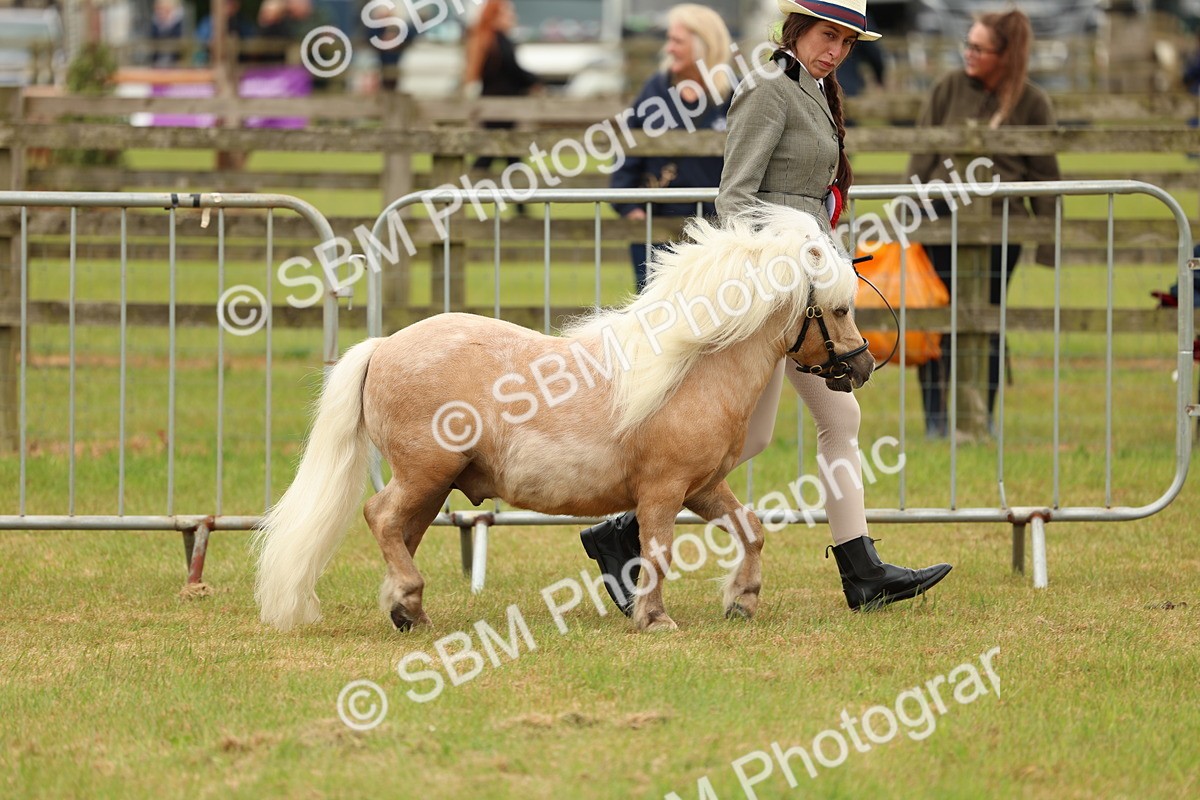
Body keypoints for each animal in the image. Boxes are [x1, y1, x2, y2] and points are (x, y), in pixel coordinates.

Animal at [254, 204, 875, 633]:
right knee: (380, 517)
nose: (864, 365)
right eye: (840, 309)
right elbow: (658, 552)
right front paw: (654, 618)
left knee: (401, 530)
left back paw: (409, 611)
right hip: (423, 474)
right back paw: (407, 599)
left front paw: (741, 601)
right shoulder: (663, 490)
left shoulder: (702, 488)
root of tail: (382, 347)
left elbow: (750, 529)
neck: (691, 369)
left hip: (432, 486)